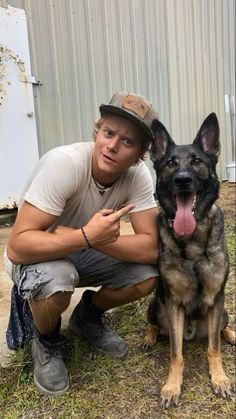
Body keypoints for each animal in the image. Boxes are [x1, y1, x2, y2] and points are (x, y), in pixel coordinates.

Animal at [145, 113, 235, 408]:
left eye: (197, 161)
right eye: (171, 163)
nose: (182, 180)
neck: (193, 242)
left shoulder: (217, 298)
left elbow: (214, 348)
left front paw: (220, 378)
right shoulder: (173, 302)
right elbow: (176, 353)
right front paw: (172, 387)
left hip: (223, 313)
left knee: (221, 330)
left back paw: (232, 335)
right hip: (156, 305)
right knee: (155, 325)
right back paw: (149, 337)